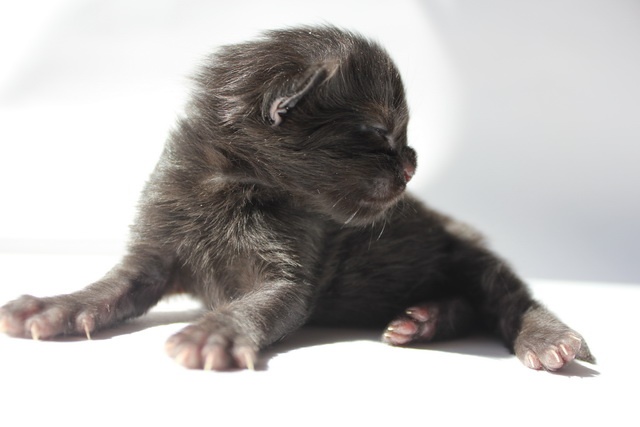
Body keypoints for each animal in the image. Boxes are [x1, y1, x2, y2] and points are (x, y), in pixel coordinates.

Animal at [0, 26, 594, 371]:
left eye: (399, 134)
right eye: (377, 132)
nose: (412, 162)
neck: (235, 184)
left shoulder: (291, 273)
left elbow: (258, 304)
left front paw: (216, 333)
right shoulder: (153, 250)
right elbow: (108, 288)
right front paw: (55, 306)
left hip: (469, 252)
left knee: (510, 298)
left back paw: (547, 339)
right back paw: (423, 319)